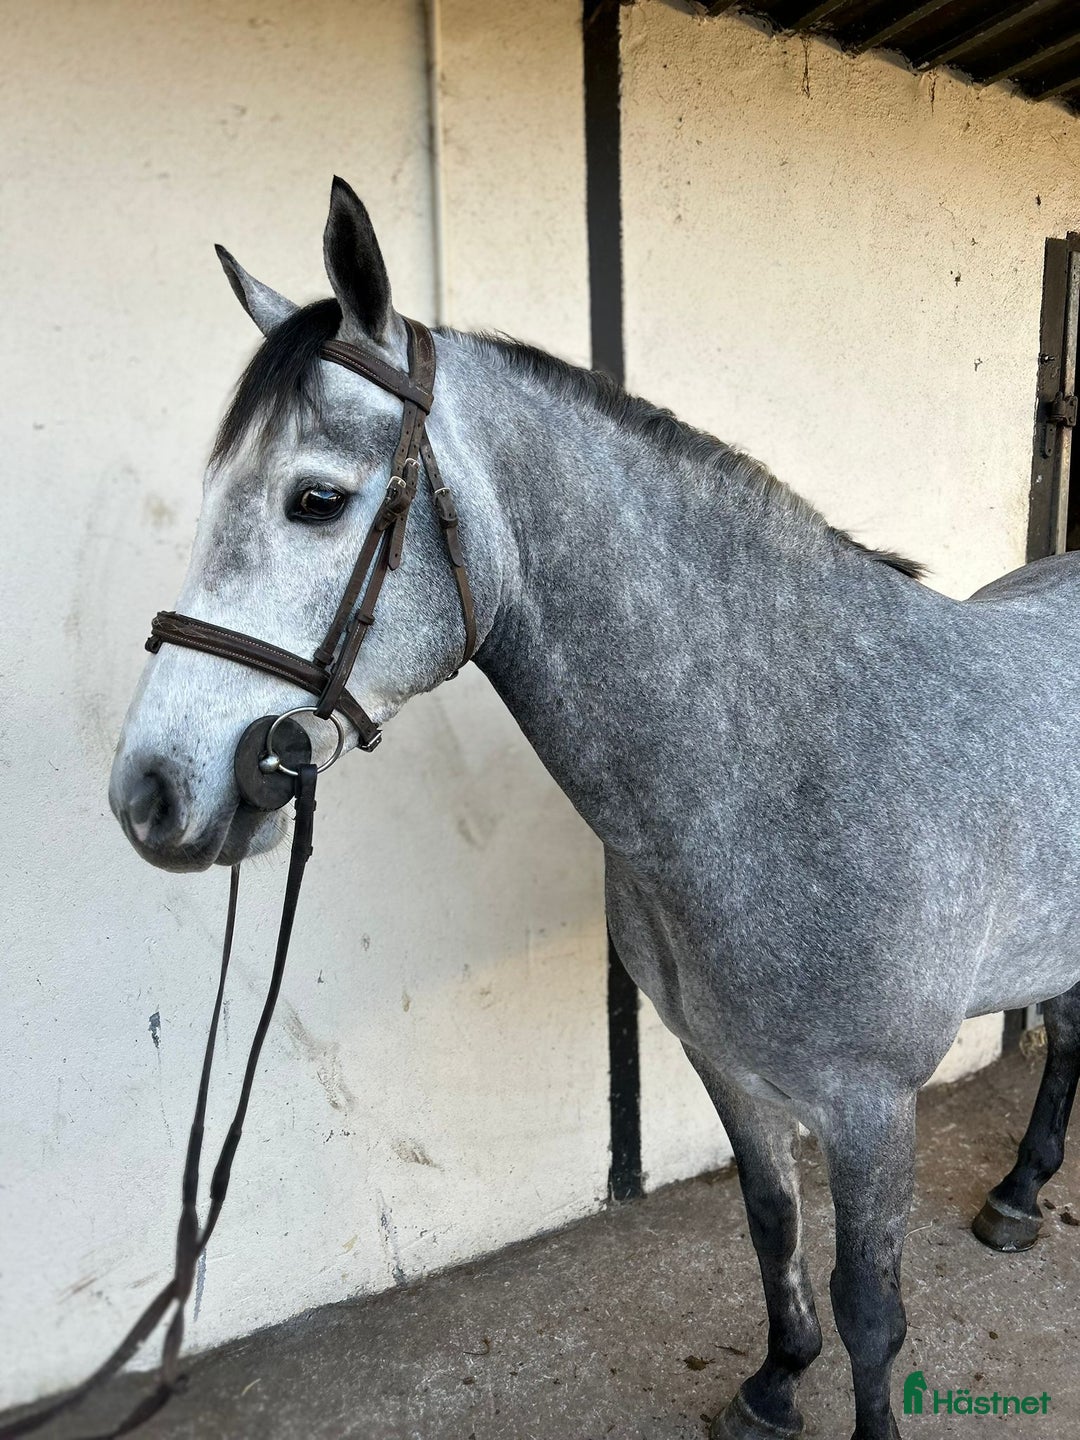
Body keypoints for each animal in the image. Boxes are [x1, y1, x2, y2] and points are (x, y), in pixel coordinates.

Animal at [110, 178, 1080, 1440]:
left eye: (314, 500)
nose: (149, 792)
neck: (785, 765)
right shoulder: (724, 1064)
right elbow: (771, 1223)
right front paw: (774, 1383)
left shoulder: (872, 1108)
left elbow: (873, 1306)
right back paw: (1019, 1192)